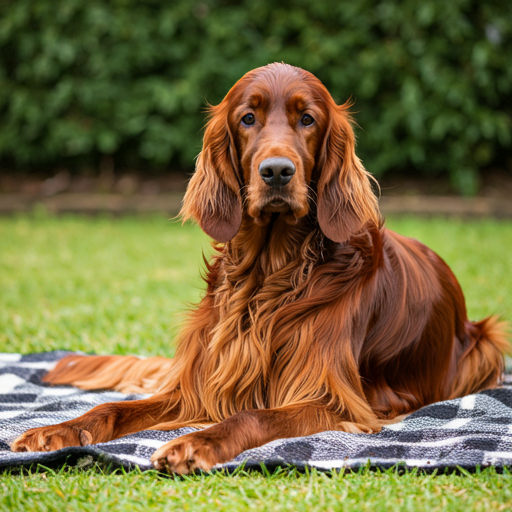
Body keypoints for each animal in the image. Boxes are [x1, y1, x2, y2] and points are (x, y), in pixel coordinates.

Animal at [12, 64, 508, 476]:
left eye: (307, 119)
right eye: (248, 118)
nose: (276, 171)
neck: (268, 277)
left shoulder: (330, 400)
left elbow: (251, 414)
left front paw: (195, 443)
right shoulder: (198, 386)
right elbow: (112, 409)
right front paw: (57, 431)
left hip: (485, 345)